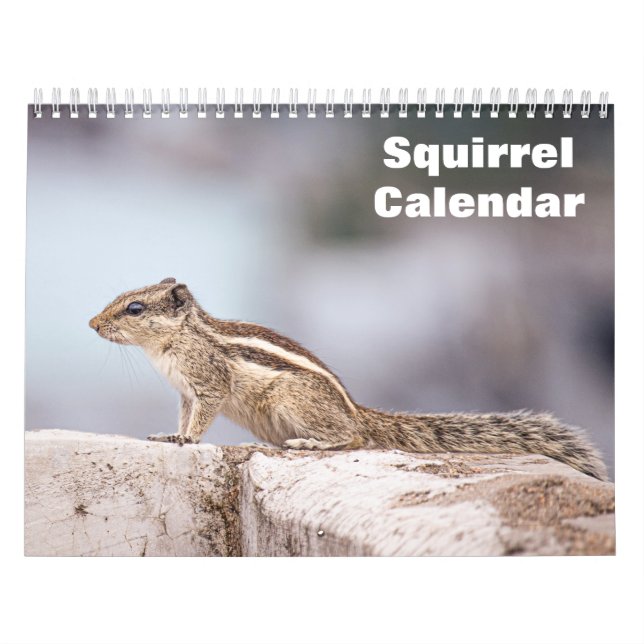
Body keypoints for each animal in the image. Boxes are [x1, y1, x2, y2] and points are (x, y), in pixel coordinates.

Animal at [89, 278, 608, 481]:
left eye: (135, 308)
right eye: (122, 298)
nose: (92, 324)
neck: (173, 342)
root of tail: (357, 408)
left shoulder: (208, 384)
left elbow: (202, 418)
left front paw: (188, 440)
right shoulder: (184, 391)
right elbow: (181, 416)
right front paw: (170, 435)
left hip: (291, 400)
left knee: (352, 437)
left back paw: (312, 442)